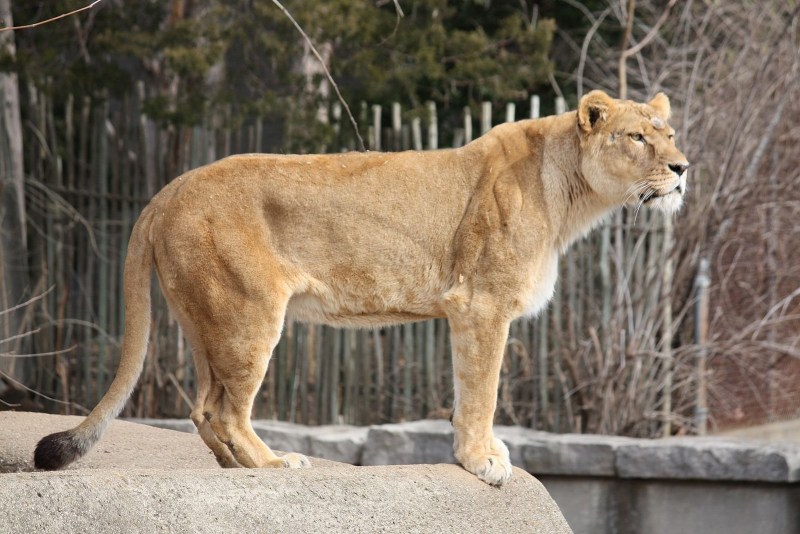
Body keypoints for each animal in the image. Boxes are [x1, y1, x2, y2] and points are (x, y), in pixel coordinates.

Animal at [35, 90, 688, 485]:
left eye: (671, 133)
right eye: (637, 137)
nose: (683, 169)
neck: (570, 194)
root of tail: (169, 188)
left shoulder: (469, 310)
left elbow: (469, 392)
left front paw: (483, 453)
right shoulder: (480, 305)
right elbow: (482, 390)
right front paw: (482, 461)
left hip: (205, 319)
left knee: (200, 407)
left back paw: (235, 468)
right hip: (248, 314)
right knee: (224, 409)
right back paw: (273, 463)